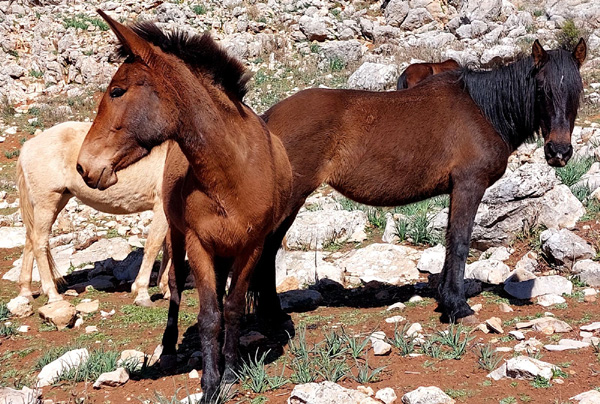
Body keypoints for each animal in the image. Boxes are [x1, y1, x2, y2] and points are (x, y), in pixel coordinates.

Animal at [16, 121, 170, 307]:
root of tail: (28, 146)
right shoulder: (162, 208)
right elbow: (154, 246)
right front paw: (142, 293)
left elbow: (169, 248)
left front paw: (166, 289)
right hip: (46, 204)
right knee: (39, 243)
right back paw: (52, 295)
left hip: (56, 203)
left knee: (30, 240)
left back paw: (25, 292)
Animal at [75, 11, 293, 401]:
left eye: (117, 91)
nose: (84, 167)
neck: (231, 174)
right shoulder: (198, 244)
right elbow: (208, 315)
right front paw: (209, 383)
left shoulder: (251, 247)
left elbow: (231, 309)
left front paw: (230, 373)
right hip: (176, 235)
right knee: (176, 288)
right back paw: (168, 347)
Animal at [250, 39, 586, 325]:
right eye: (541, 88)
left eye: (578, 90)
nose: (558, 152)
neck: (484, 111)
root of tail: (268, 119)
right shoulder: (469, 184)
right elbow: (460, 242)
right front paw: (459, 307)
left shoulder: (456, 189)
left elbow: (450, 240)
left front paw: (447, 300)